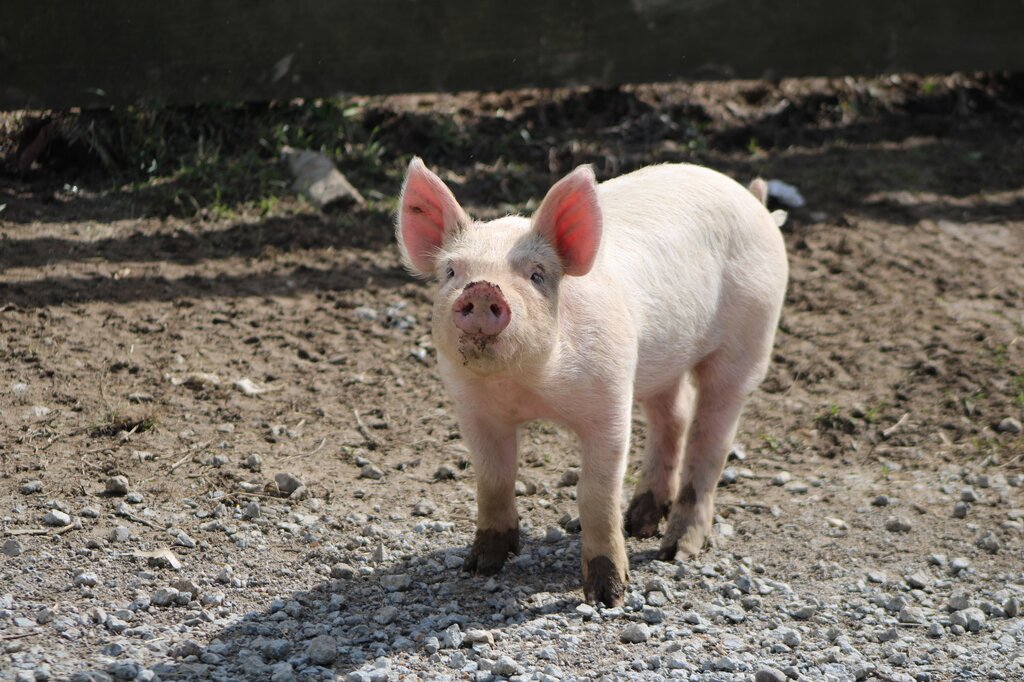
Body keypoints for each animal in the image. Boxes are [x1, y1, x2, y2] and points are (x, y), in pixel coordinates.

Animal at [396, 158, 788, 606]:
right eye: (451, 271)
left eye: (537, 275)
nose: (481, 289)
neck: (526, 387)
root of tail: (754, 202)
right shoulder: (472, 407)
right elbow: (493, 478)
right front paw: (479, 567)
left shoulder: (611, 398)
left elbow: (595, 493)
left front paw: (607, 597)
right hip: (660, 361)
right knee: (675, 414)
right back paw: (639, 523)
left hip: (750, 337)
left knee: (711, 440)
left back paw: (675, 551)